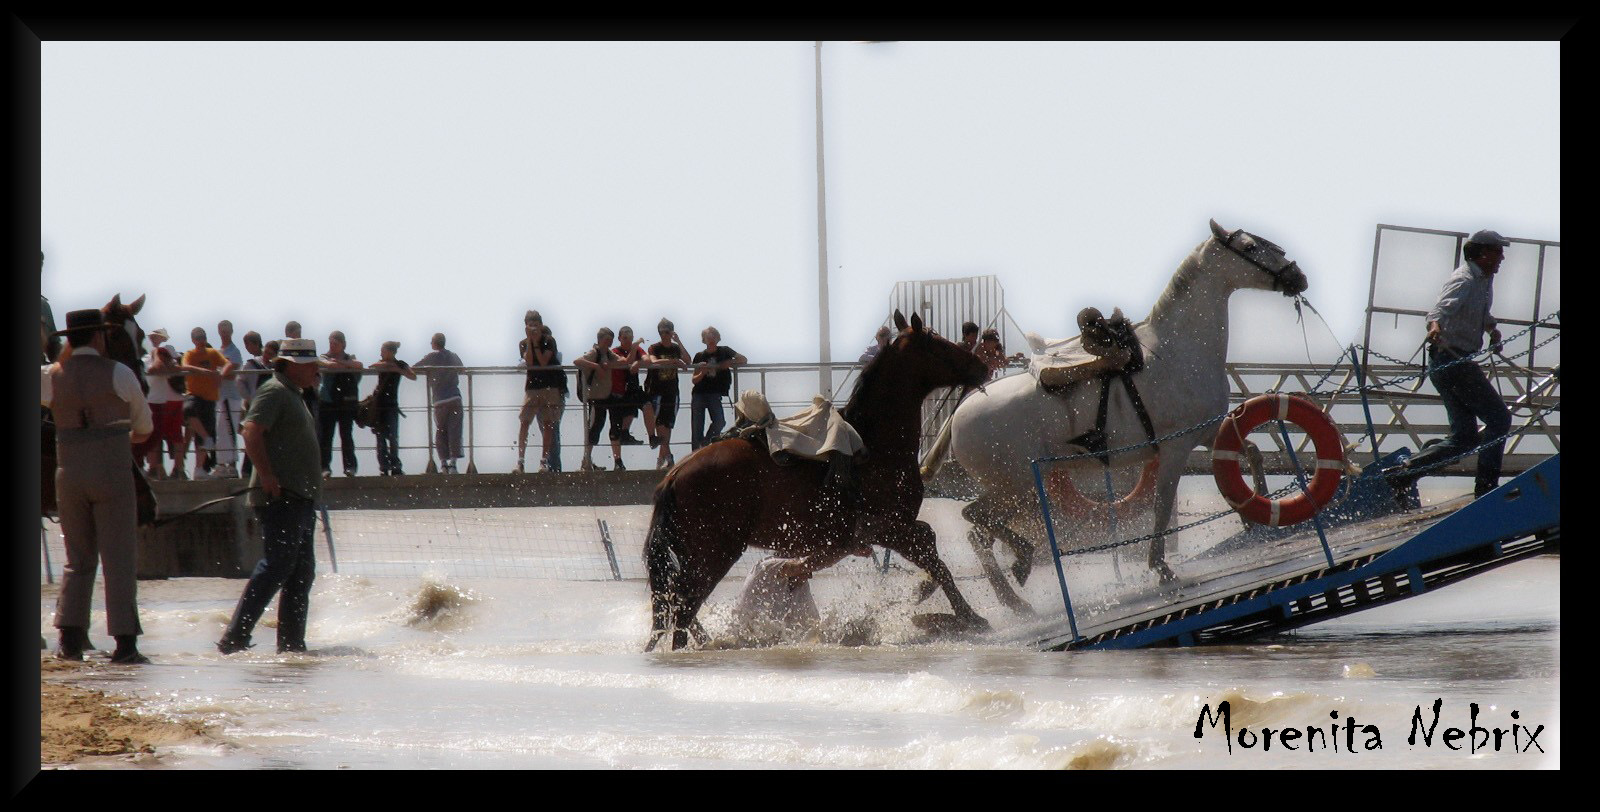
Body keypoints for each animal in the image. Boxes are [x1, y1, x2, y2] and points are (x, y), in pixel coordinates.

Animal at [643, 310, 992, 652]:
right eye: (941, 344)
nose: (983, 366)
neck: (874, 444)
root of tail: (674, 476)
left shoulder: (890, 529)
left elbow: (930, 546)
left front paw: (932, 598)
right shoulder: (888, 527)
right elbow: (935, 559)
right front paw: (969, 617)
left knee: (675, 604)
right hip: (714, 553)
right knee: (684, 606)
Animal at [921, 218, 1305, 610]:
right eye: (1250, 247)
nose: (1297, 277)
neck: (1178, 349)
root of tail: (960, 412)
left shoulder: (1207, 431)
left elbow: (1251, 453)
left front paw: (1255, 513)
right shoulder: (1176, 447)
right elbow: (1162, 505)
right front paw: (1160, 566)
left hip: (1015, 490)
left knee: (978, 533)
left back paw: (1013, 599)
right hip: (1014, 485)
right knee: (974, 520)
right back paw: (1019, 570)